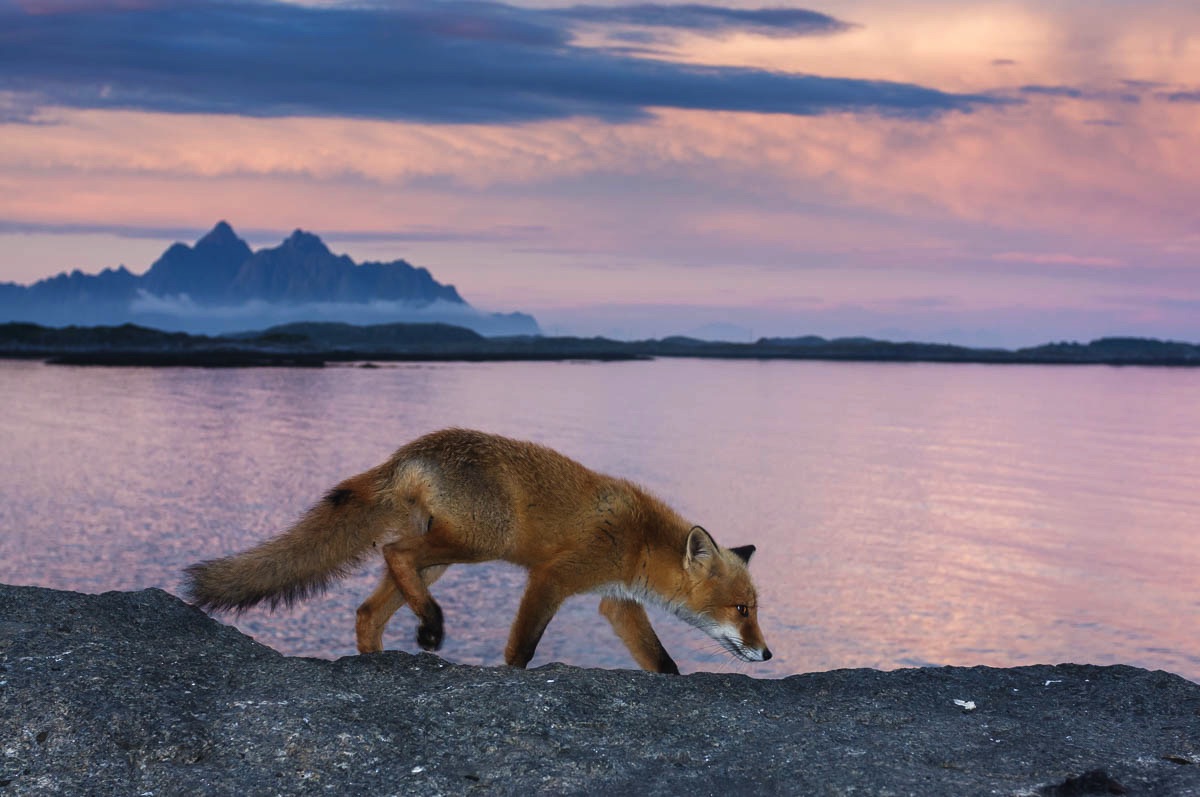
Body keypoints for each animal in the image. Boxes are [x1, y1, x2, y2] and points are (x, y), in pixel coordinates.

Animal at [183, 429, 772, 672]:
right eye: (742, 610)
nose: (767, 654)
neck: (640, 542)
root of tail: (407, 453)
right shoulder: (552, 578)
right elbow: (522, 650)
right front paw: (514, 675)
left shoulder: (615, 600)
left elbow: (662, 662)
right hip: (480, 541)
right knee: (395, 552)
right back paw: (430, 625)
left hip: (444, 557)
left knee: (369, 607)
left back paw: (381, 657)